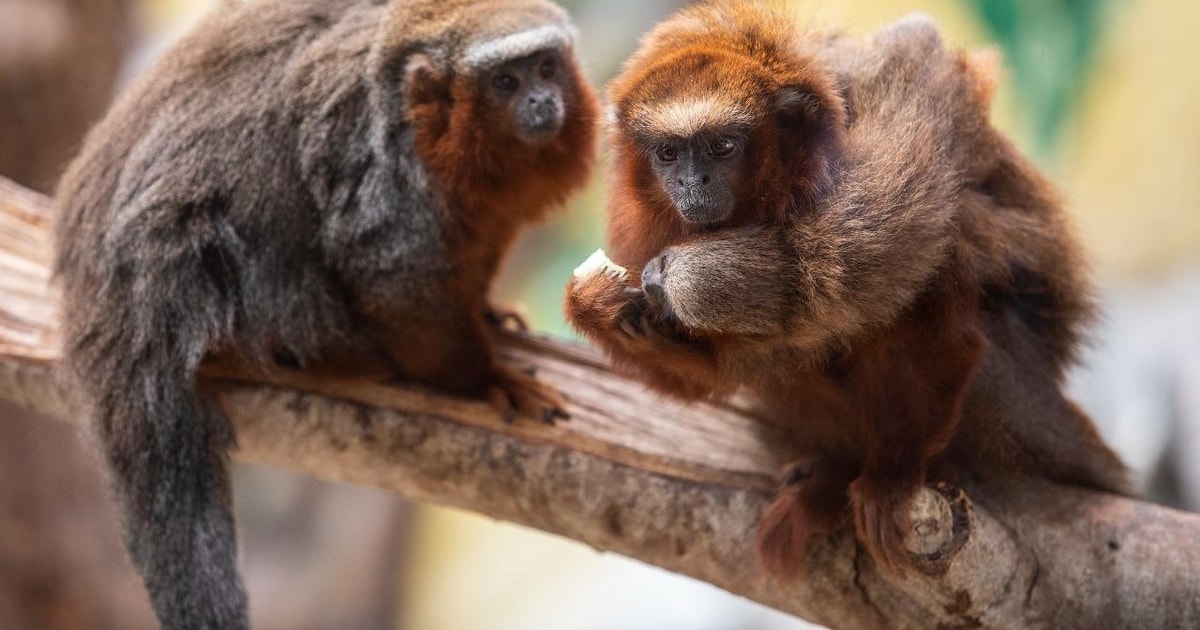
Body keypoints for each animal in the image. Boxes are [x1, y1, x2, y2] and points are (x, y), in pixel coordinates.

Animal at [53, 0, 598, 627]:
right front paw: (483, 379)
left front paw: (486, 311)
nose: (541, 101)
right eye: (506, 83)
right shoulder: (393, 171)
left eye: (547, 68)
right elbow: (390, 273)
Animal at [566, 1, 1130, 577]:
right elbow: (720, 372)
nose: (690, 184)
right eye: (668, 155)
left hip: (1021, 403)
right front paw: (604, 309)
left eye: (722, 148)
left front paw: (892, 479)